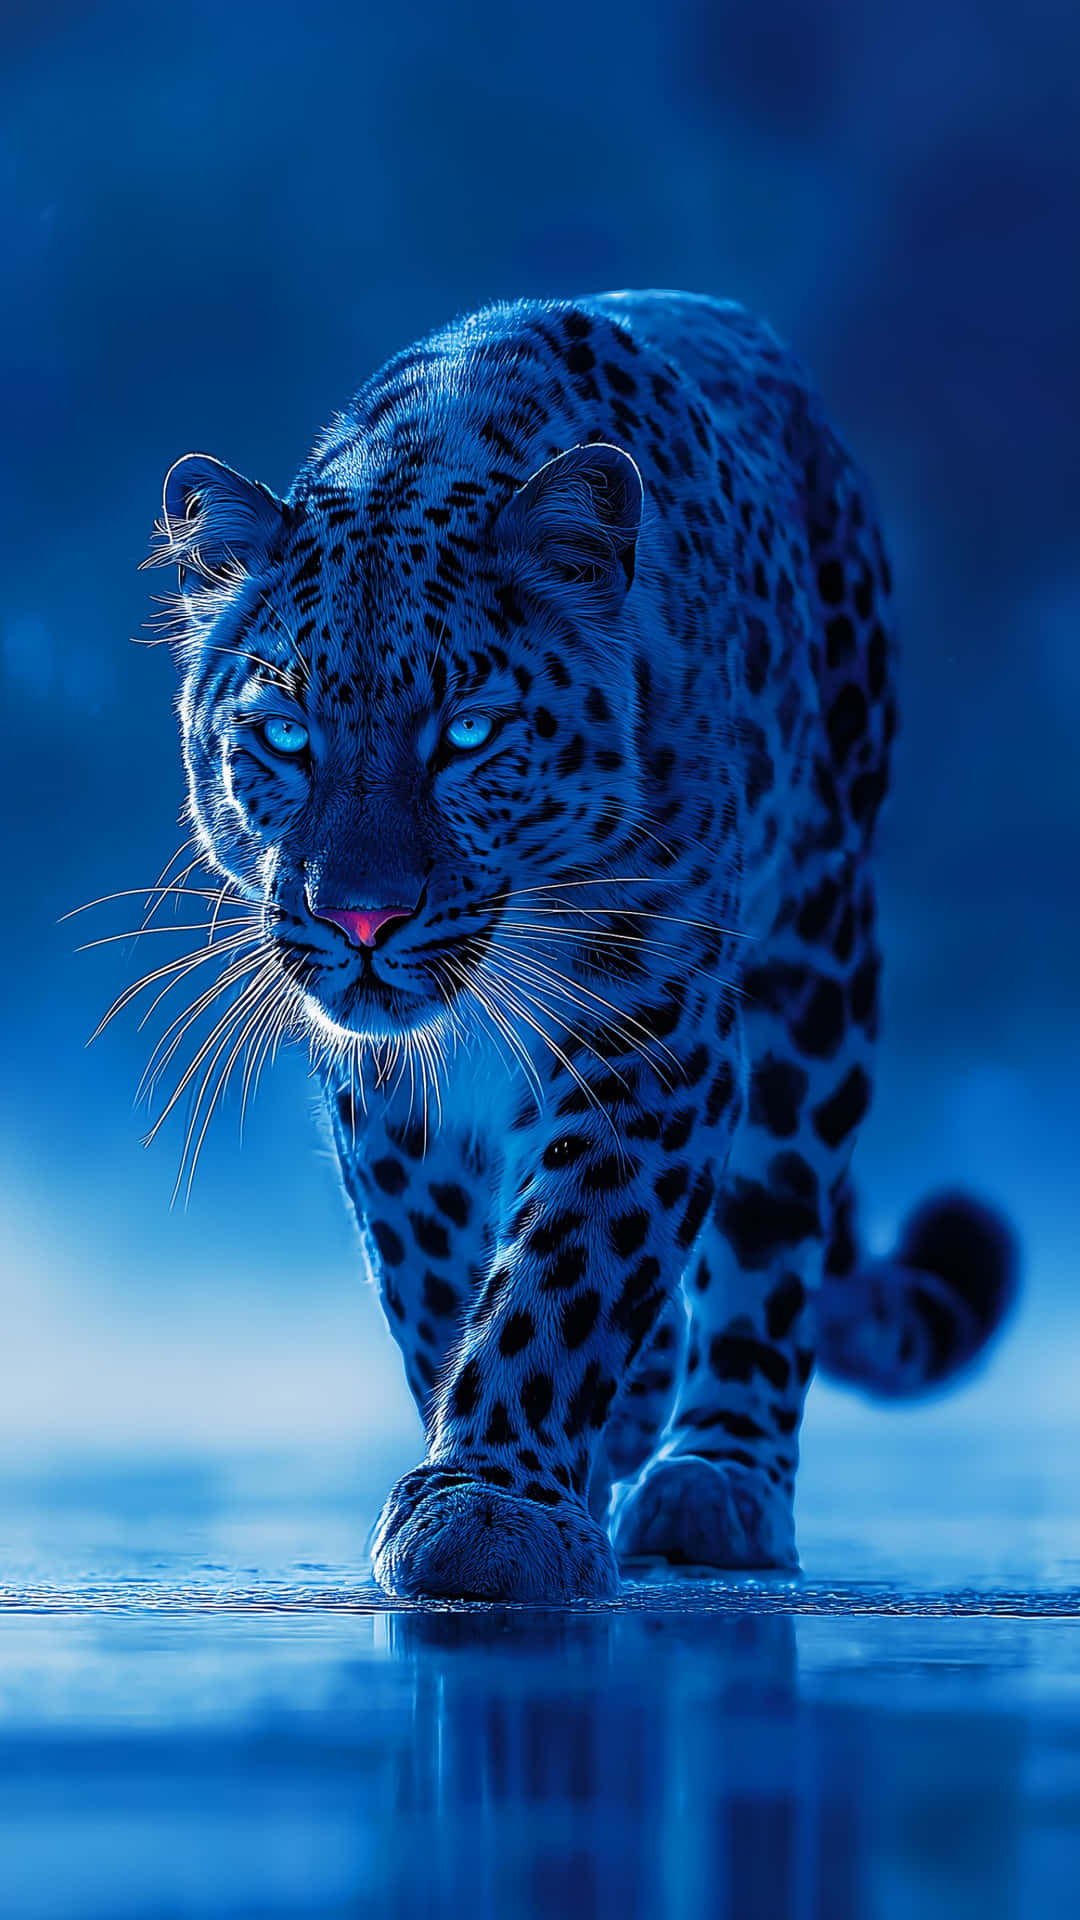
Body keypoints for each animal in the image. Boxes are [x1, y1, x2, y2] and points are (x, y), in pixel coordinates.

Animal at [143, 290, 1018, 1600]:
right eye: (286, 735)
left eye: (467, 732)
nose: (361, 917)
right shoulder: (387, 1088)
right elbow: (439, 1280)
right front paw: (508, 1473)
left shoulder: (649, 1029)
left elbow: (571, 1268)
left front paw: (491, 1503)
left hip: (819, 951)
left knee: (774, 1227)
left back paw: (717, 1481)